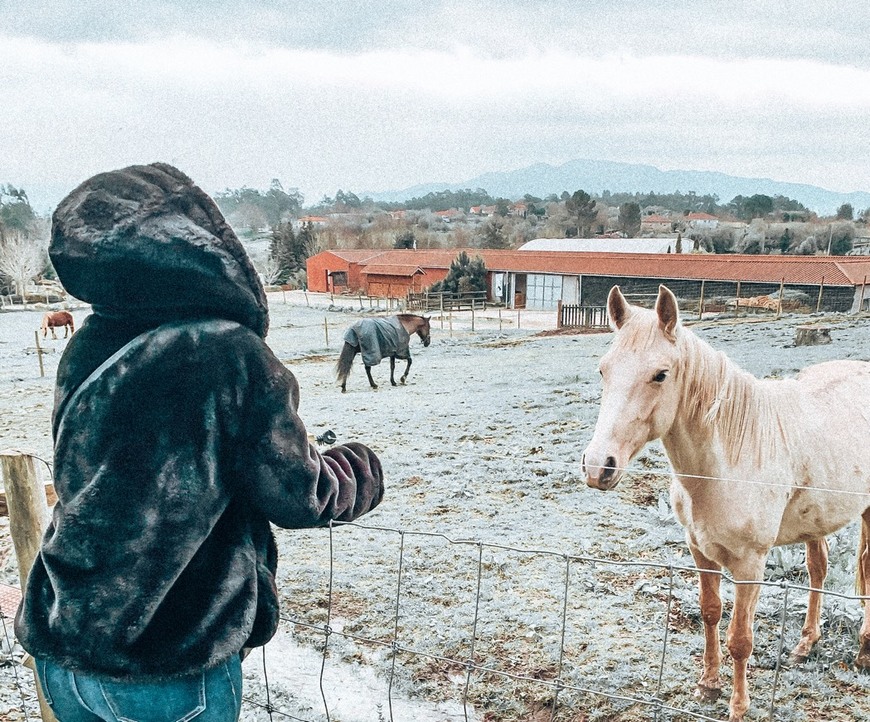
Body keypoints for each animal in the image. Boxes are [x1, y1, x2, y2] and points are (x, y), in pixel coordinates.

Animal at [584, 284, 870, 716]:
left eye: (660, 374)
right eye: (603, 369)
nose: (598, 466)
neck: (728, 460)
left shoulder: (751, 563)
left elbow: (740, 638)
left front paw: (738, 706)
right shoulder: (700, 550)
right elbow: (710, 613)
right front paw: (708, 685)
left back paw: (864, 652)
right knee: (818, 569)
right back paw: (805, 645)